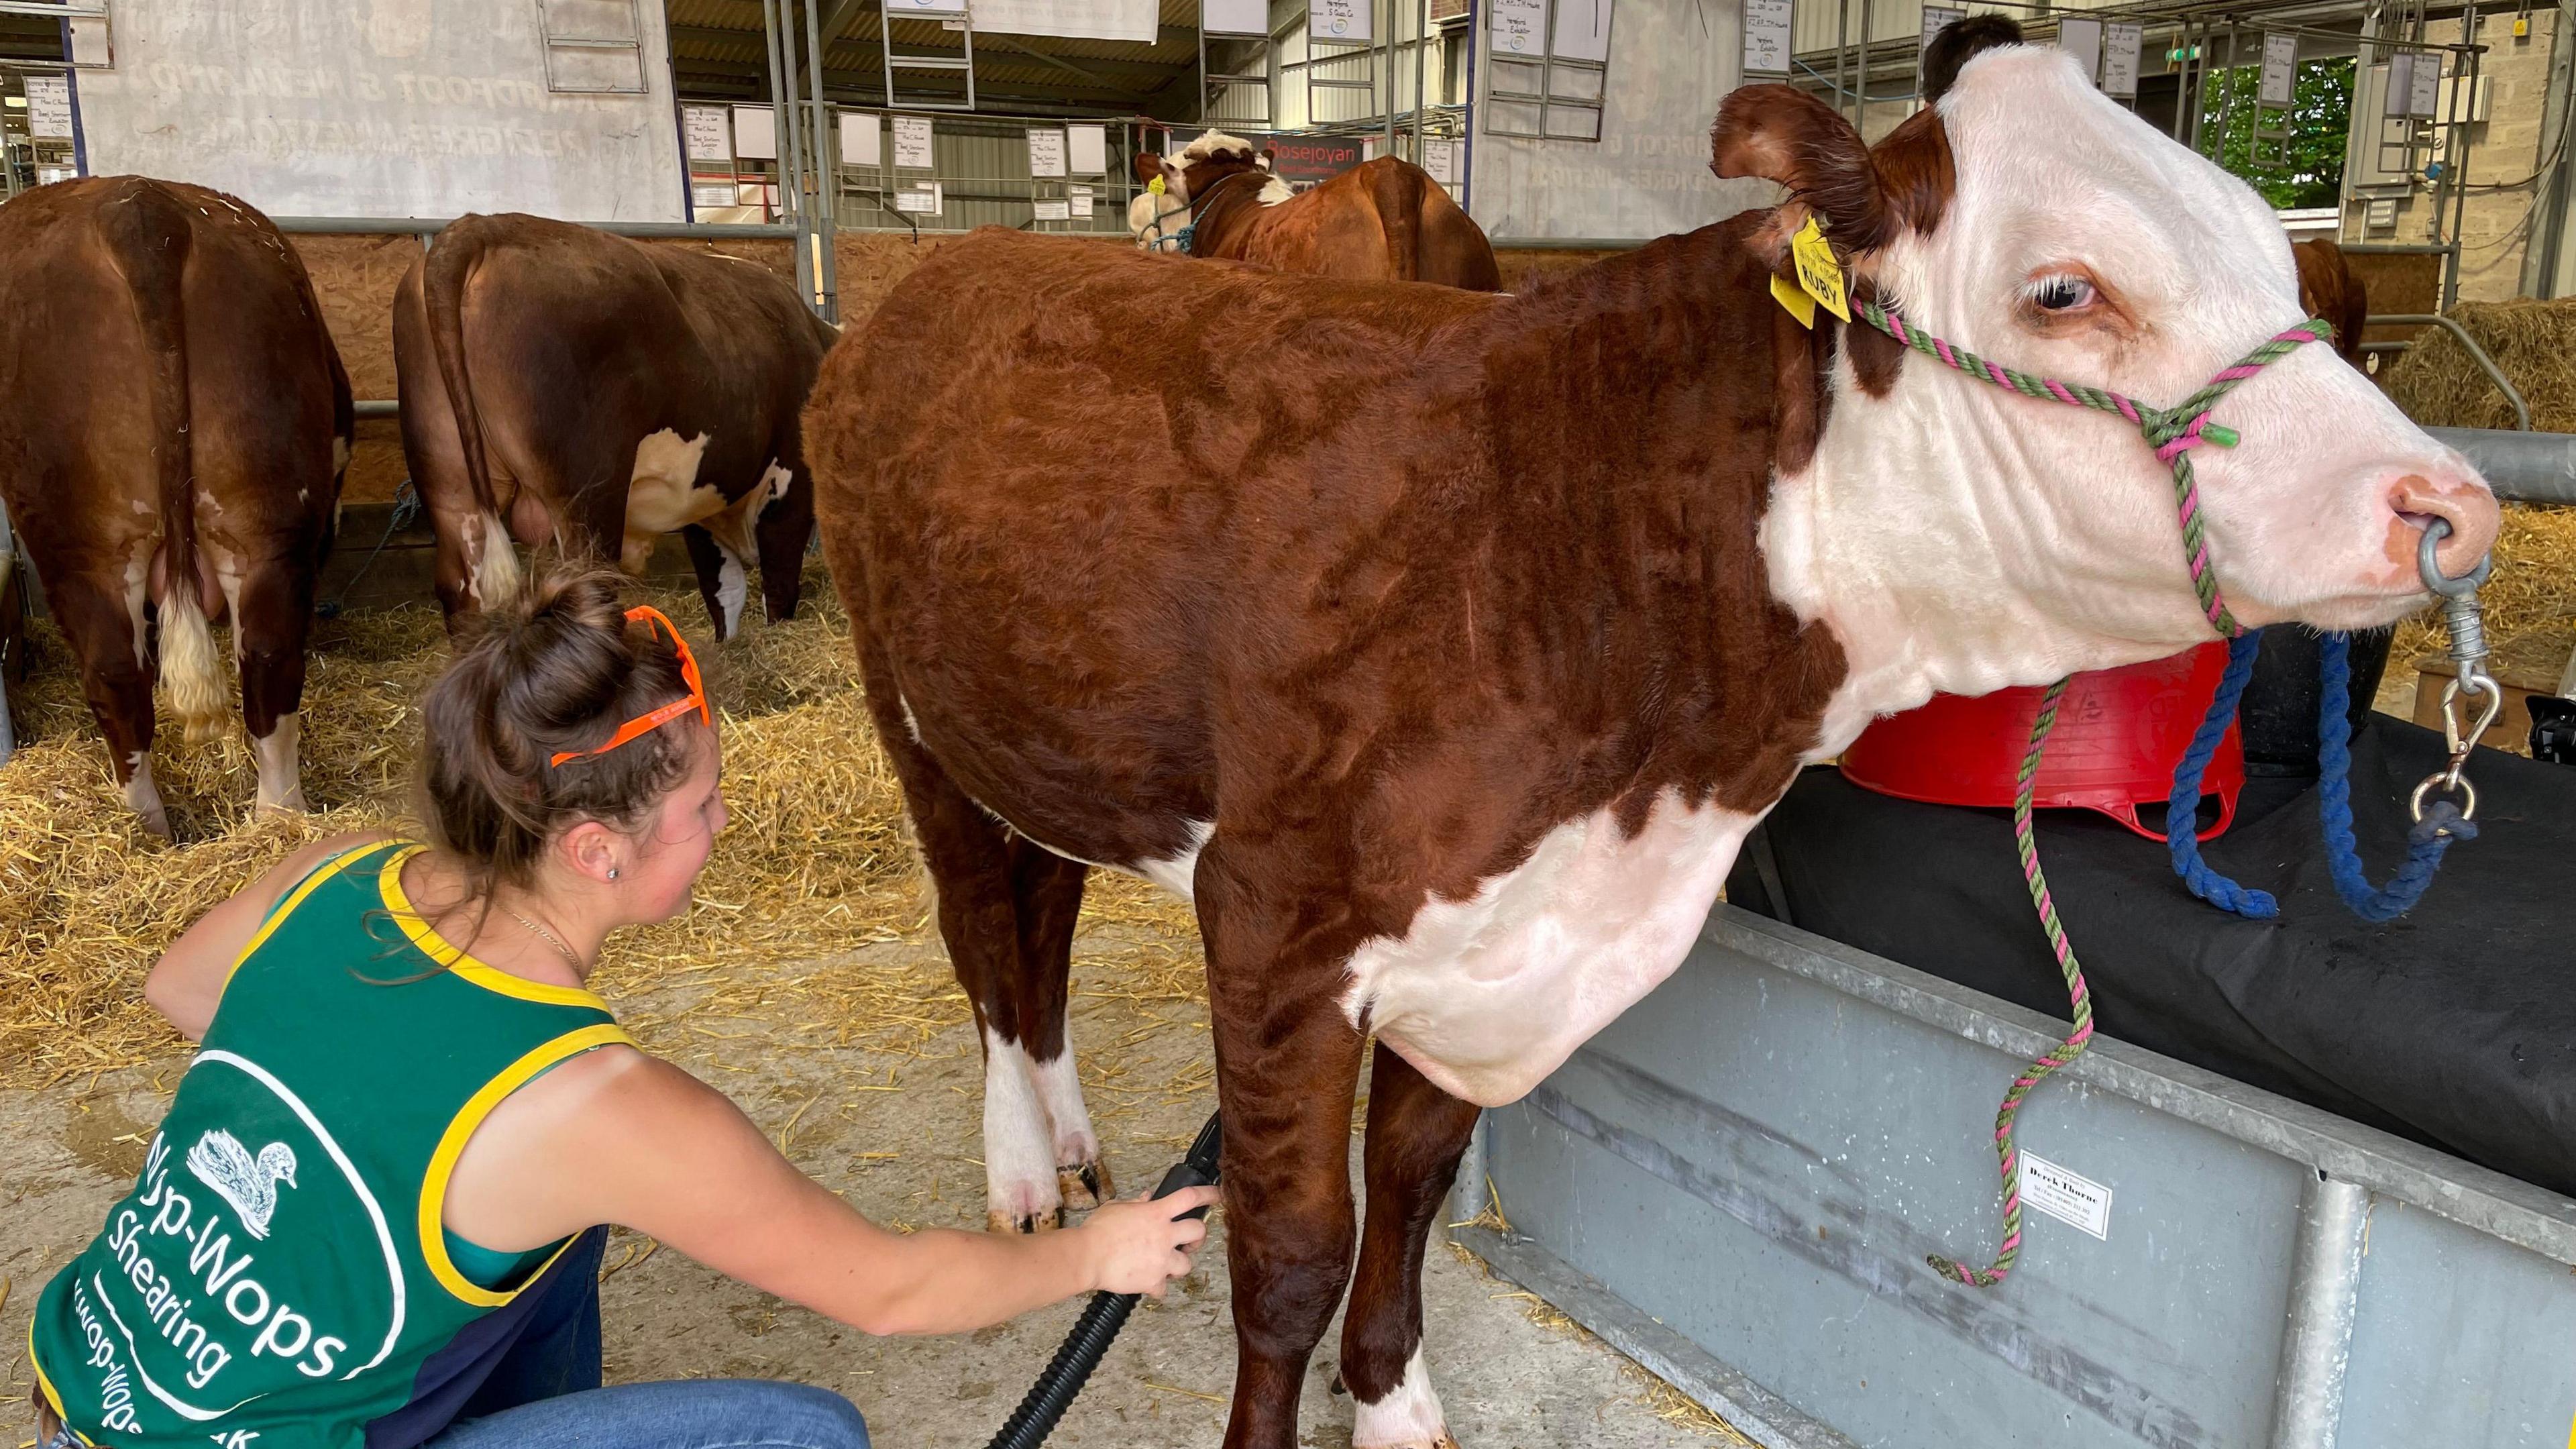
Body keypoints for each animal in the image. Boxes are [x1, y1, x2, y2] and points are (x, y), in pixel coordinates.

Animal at [0, 178, 353, 835]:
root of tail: (140, 209)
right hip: (265, 514)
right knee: (268, 656)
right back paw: (277, 818)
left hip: (76, 536)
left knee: (114, 674)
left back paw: (147, 830)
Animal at [394, 210, 835, 637]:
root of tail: (480, 227)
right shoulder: (792, 485)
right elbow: (778, 584)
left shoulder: (704, 500)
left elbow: (724, 593)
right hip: (587, 498)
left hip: (450, 484)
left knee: (459, 588)